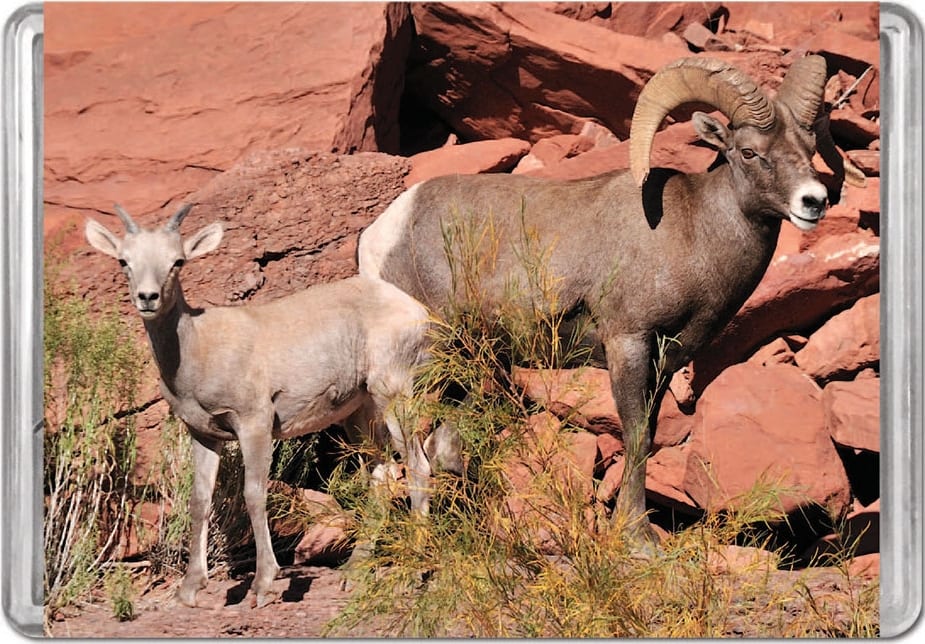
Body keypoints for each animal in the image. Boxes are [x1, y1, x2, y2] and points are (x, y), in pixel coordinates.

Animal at [85, 204, 433, 608]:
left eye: (177, 261)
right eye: (124, 260)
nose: (148, 297)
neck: (198, 350)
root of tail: (416, 310)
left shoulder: (255, 422)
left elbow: (253, 493)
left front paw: (262, 587)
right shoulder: (204, 434)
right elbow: (200, 500)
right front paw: (190, 589)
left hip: (394, 393)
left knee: (417, 467)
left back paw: (414, 574)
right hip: (360, 412)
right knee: (381, 473)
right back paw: (354, 573)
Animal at [358, 55, 833, 547]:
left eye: (810, 146)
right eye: (749, 152)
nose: (814, 202)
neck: (693, 232)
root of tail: (381, 235)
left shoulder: (665, 361)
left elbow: (648, 433)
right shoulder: (628, 343)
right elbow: (637, 435)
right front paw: (639, 539)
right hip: (425, 363)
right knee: (411, 451)